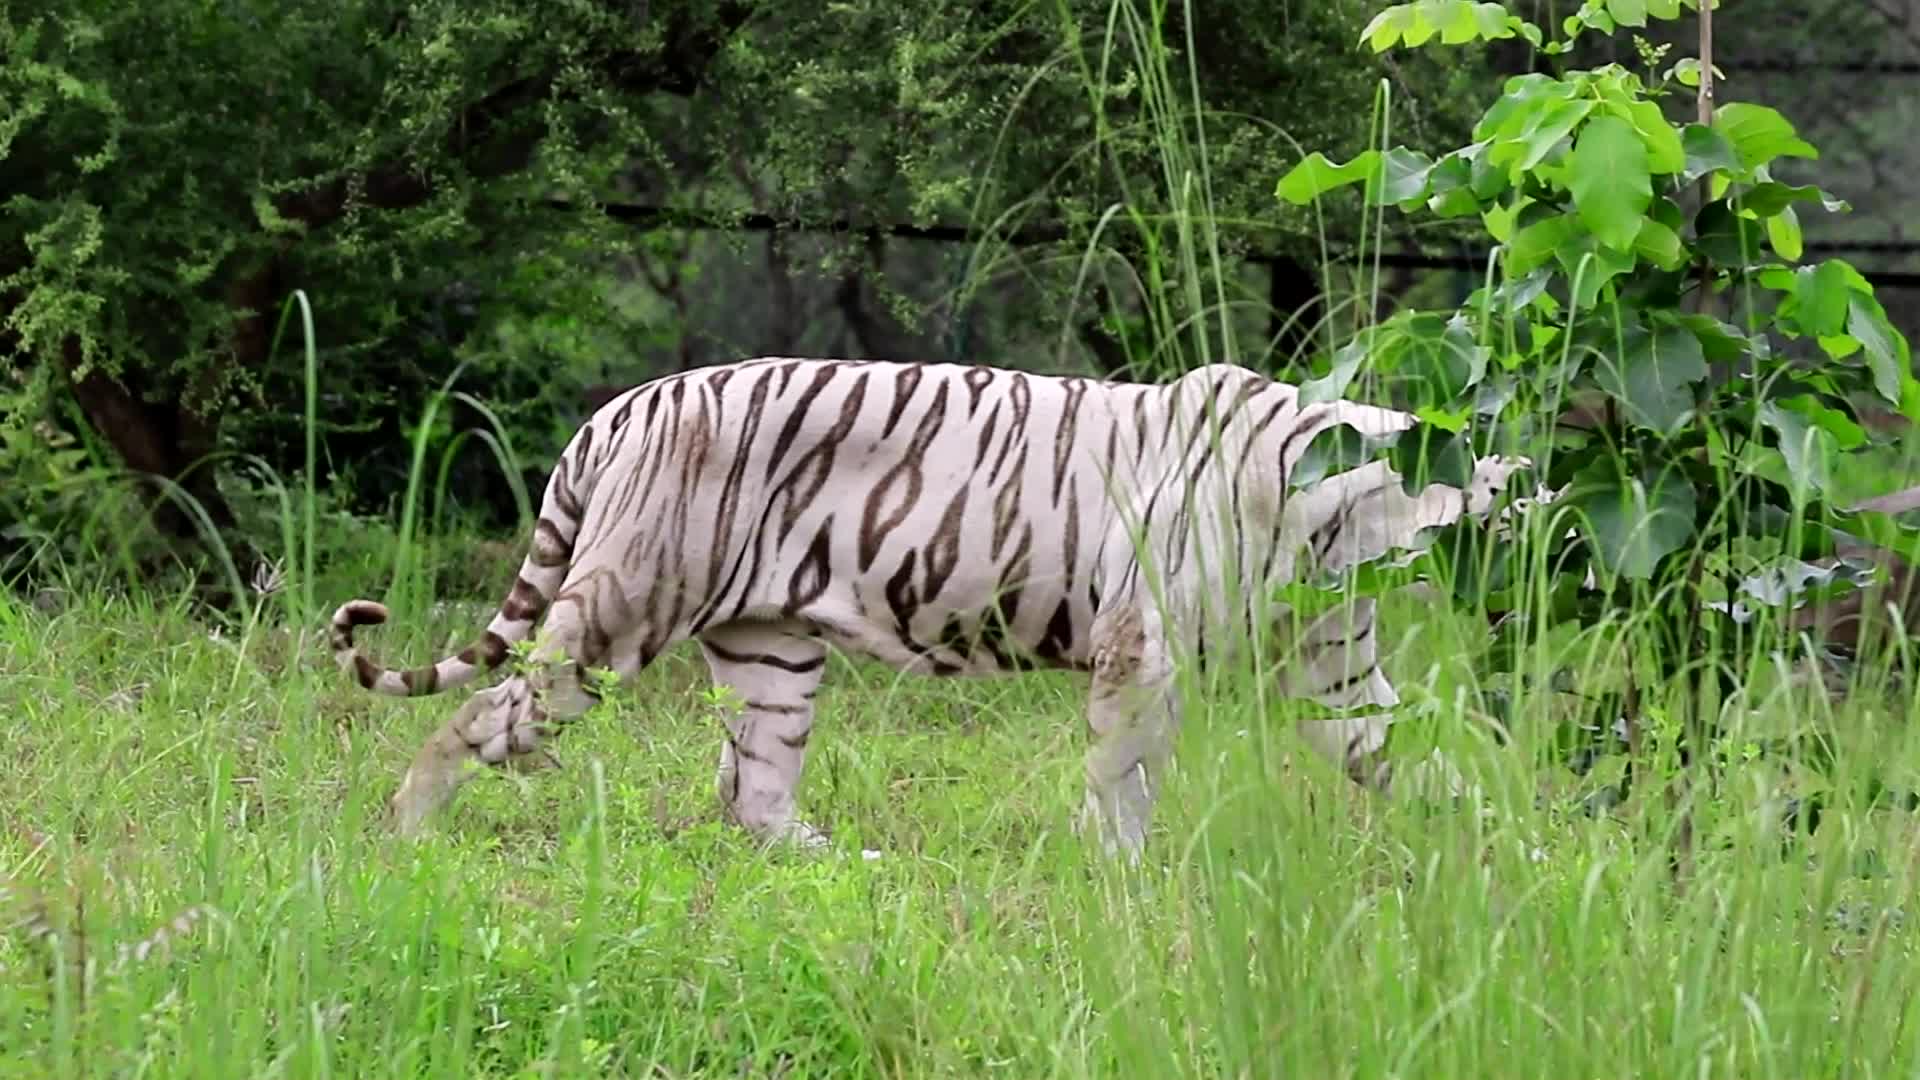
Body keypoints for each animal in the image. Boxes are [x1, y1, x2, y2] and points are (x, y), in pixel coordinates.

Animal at [330, 356, 1530, 859]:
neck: (1348, 527)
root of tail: (616, 408)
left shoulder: (1336, 673)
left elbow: (1415, 758)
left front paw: (1506, 845)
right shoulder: (1140, 655)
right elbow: (1123, 777)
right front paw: (1120, 878)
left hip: (772, 655)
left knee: (753, 794)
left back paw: (839, 862)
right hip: (621, 616)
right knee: (478, 717)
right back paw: (404, 830)